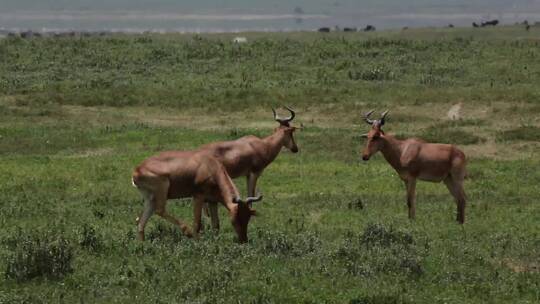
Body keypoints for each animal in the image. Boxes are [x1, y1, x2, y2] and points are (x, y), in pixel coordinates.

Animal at [131, 151, 262, 242]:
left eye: (248, 218)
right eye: (235, 219)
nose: (243, 240)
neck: (210, 166)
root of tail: (137, 170)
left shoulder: (212, 201)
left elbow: (216, 224)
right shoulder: (198, 197)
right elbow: (197, 223)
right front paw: (197, 241)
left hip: (149, 198)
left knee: (141, 221)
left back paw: (142, 244)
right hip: (162, 189)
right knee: (159, 210)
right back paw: (187, 232)